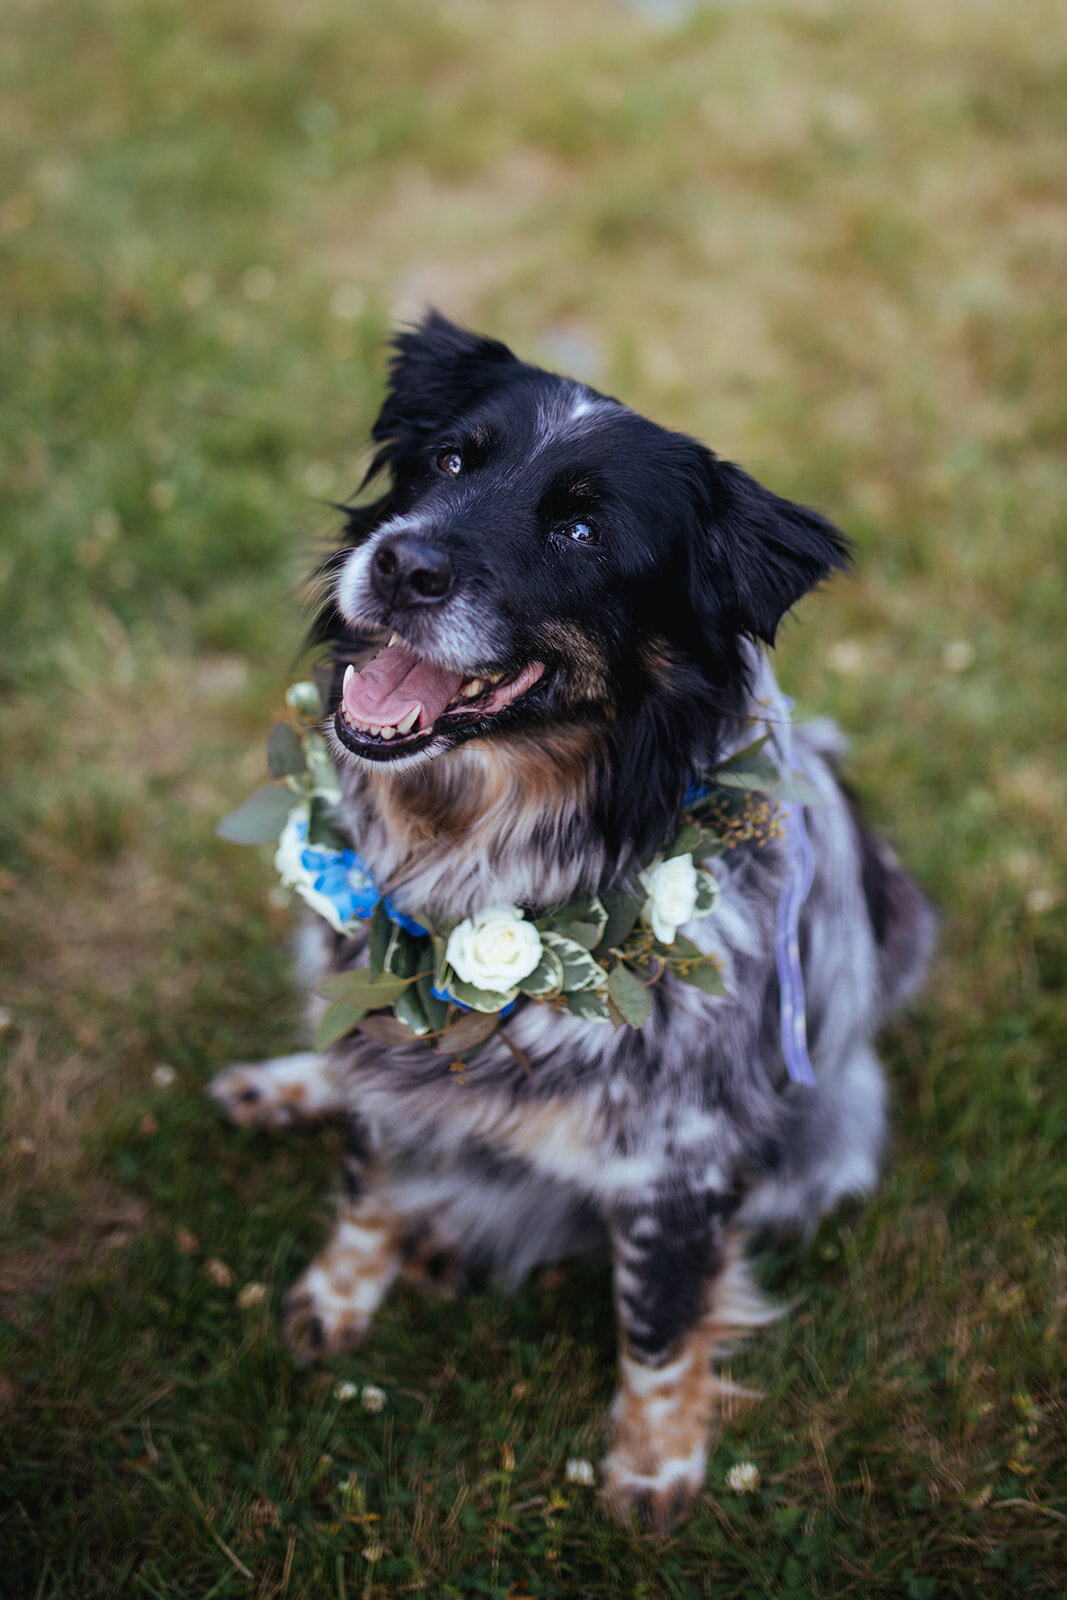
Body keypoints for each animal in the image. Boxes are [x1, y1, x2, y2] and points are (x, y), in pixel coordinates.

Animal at [214, 308, 934, 1523]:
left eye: (584, 529)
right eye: (448, 462)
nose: (400, 561)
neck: (478, 852)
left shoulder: (678, 1164)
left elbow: (658, 1322)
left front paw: (654, 1463)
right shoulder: (390, 1037)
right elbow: (368, 1182)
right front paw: (337, 1294)